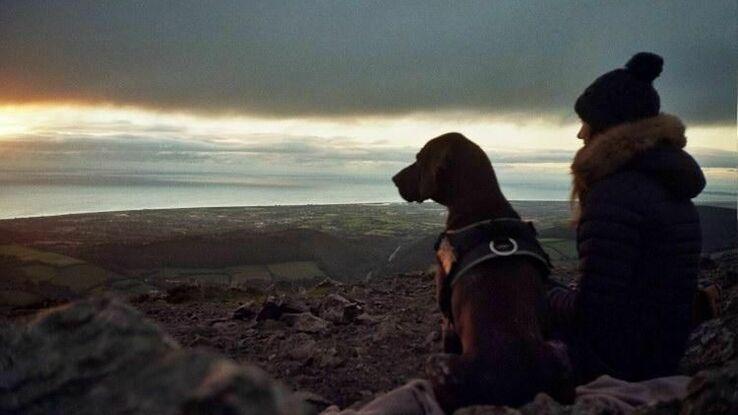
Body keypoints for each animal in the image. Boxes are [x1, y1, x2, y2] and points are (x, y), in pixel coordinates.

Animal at [392, 133, 568, 412]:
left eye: (419, 158)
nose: (394, 178)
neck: (480, 204)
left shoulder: (447, 317)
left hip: (437, 364)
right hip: (561, 351)